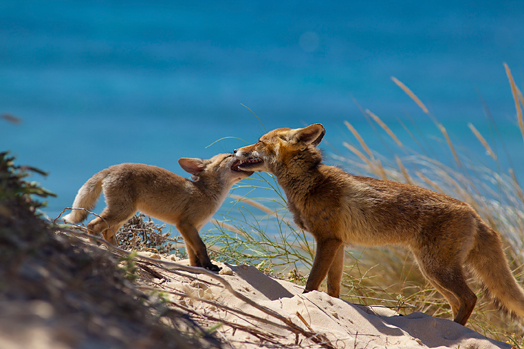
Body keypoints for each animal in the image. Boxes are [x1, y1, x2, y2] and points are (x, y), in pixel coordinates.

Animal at [63, 154, 252, 270]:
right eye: (229, 156)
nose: (237, 150)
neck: (205, 192)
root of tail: (113, 167)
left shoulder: (191, 228)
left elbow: (192, 252)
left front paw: (197, 268)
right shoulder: (185, 224)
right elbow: (201, 247)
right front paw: (210, 267)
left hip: (123, 214)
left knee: (107, 233)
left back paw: (118, 253)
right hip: (121, 212)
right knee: (92, 225)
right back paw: (95, 248)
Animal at [235, 122, 524, 324]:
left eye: (259, 141)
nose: (236, 150)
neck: (311, 183)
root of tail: (474, 213)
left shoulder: (327, 240)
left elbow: (311, 284)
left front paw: (308, 303)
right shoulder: (338, 244)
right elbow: (333, 289)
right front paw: (333, 308)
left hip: (435, 269)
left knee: (470, 298)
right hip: (435, 273)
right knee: (460, 302)